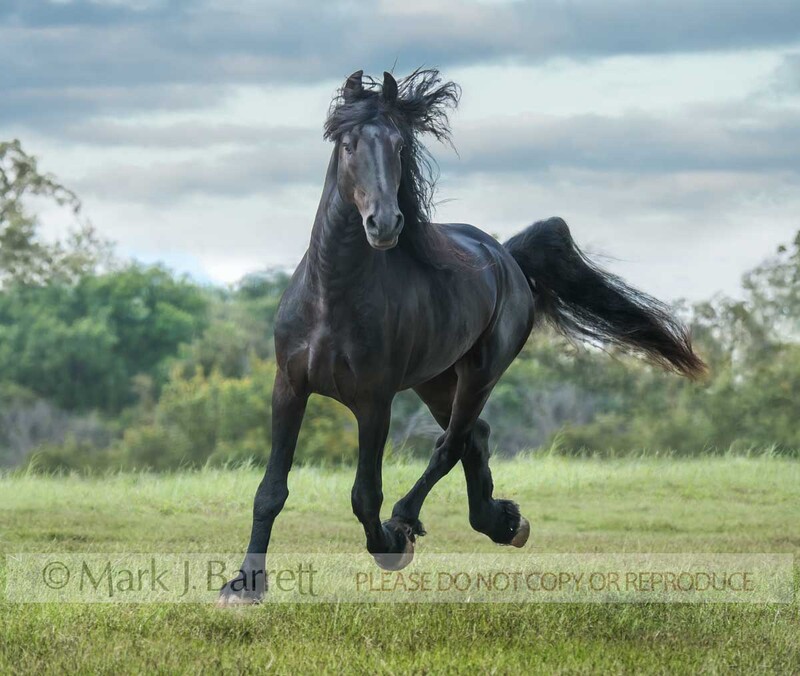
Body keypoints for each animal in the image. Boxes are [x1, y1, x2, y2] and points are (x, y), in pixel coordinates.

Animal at [218, 68, 705, 605]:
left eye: (398, 145)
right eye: (348, 145)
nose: (385, 223)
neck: (331, 299)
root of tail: (506, 257)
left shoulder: (375, 401)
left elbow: (365, 495)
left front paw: (391, 545)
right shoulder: (290, 388)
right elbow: (271, 491)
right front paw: (244, 584)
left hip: (479, 373)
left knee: (450, 445)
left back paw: (418, 523)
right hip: (433, 382)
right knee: (475, 436)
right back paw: (502, 522)